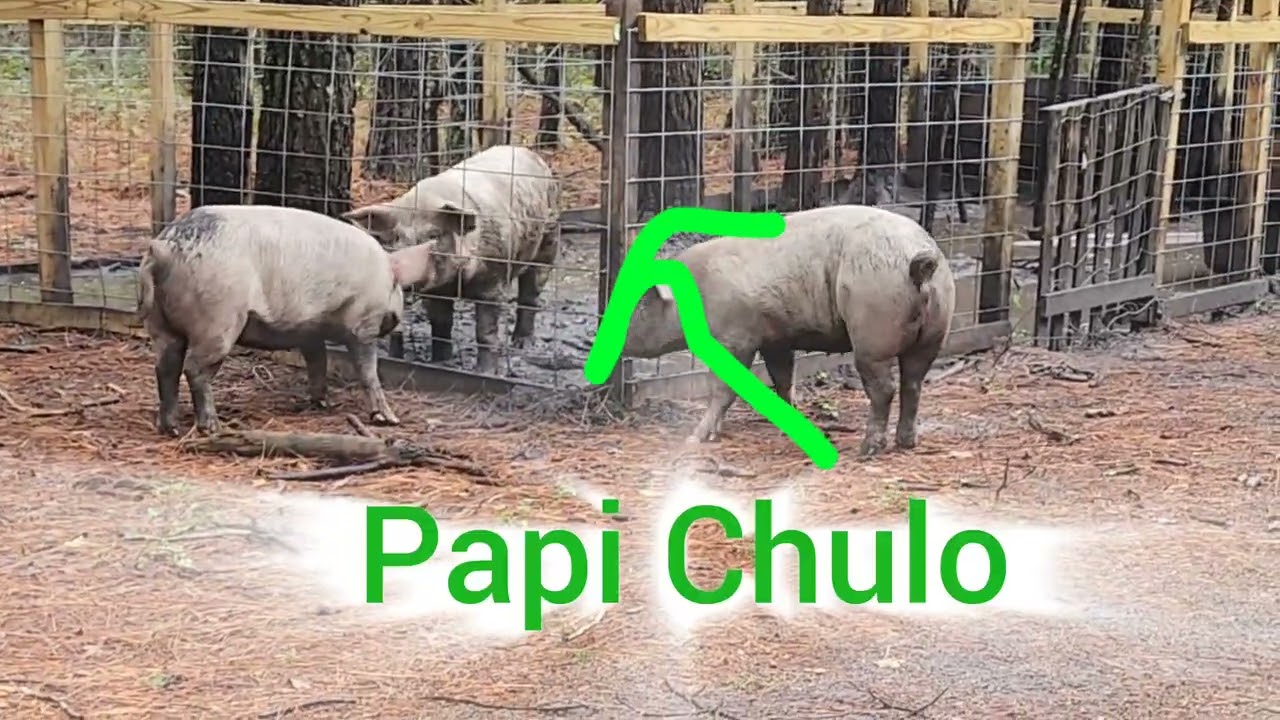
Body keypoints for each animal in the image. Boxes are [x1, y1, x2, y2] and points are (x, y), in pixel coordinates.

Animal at [136, 204, 433, 436]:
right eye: (399, 287)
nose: (394, 320)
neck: (383, 276)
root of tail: (163, 248)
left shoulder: (310, 329)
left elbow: (318, 362)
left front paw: (322, 404)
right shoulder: (363, 324)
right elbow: (368, 372)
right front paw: (389, 419)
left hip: (160, 323)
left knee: (165, 367)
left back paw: (170, 428)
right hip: (218, 319)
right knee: (194, 368)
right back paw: (212, 428)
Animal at [341, 144, 561, 376]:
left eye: (434, 235)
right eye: (398, 236)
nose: (400, 269)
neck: (457, 283)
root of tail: (527, 152)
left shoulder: (493, 279)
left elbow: (485, 331)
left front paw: (485, 373)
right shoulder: (436, 291)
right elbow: (441, 324)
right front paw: (440, 363)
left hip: (549, 239)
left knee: (531, 293)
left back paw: (522, 344)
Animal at [621, 203, 956, 458]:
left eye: (638, 306)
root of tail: (919, 263)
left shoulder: (736, 338)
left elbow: (724, 388)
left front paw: (695, 438)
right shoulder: (776, 339)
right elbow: (783, 378)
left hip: (873, 333)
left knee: (884, 389)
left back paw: (867, 450)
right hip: (934, 333)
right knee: (913, 383)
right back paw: (906, 442)